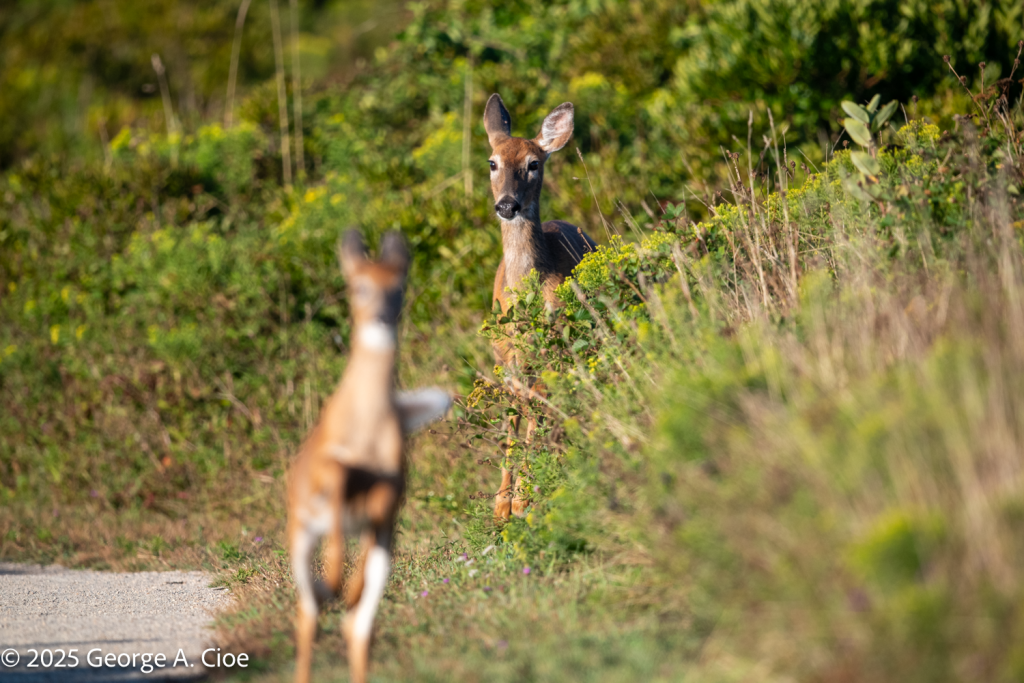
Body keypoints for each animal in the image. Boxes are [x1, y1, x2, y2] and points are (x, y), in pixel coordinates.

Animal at [287, 229, 451, 683]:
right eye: (359, 286)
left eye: (399, 288)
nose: (380, 317)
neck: (366, 433)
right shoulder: (328, 469)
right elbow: (338, 484)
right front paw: (334, 579)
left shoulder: (393, 483)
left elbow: (378, 507)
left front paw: (349, 587)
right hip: (297, 533)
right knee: (307, 615)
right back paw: (326, 589)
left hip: (380, 557)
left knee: (357, 628)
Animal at [482, 93, 597, 521]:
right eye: (492, 162)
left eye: (533, 164)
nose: (507, 205)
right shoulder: (506, 355)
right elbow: (513, 415)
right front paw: (501, 503)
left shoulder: (551, 345)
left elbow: (537, 410)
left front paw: (523, 497)